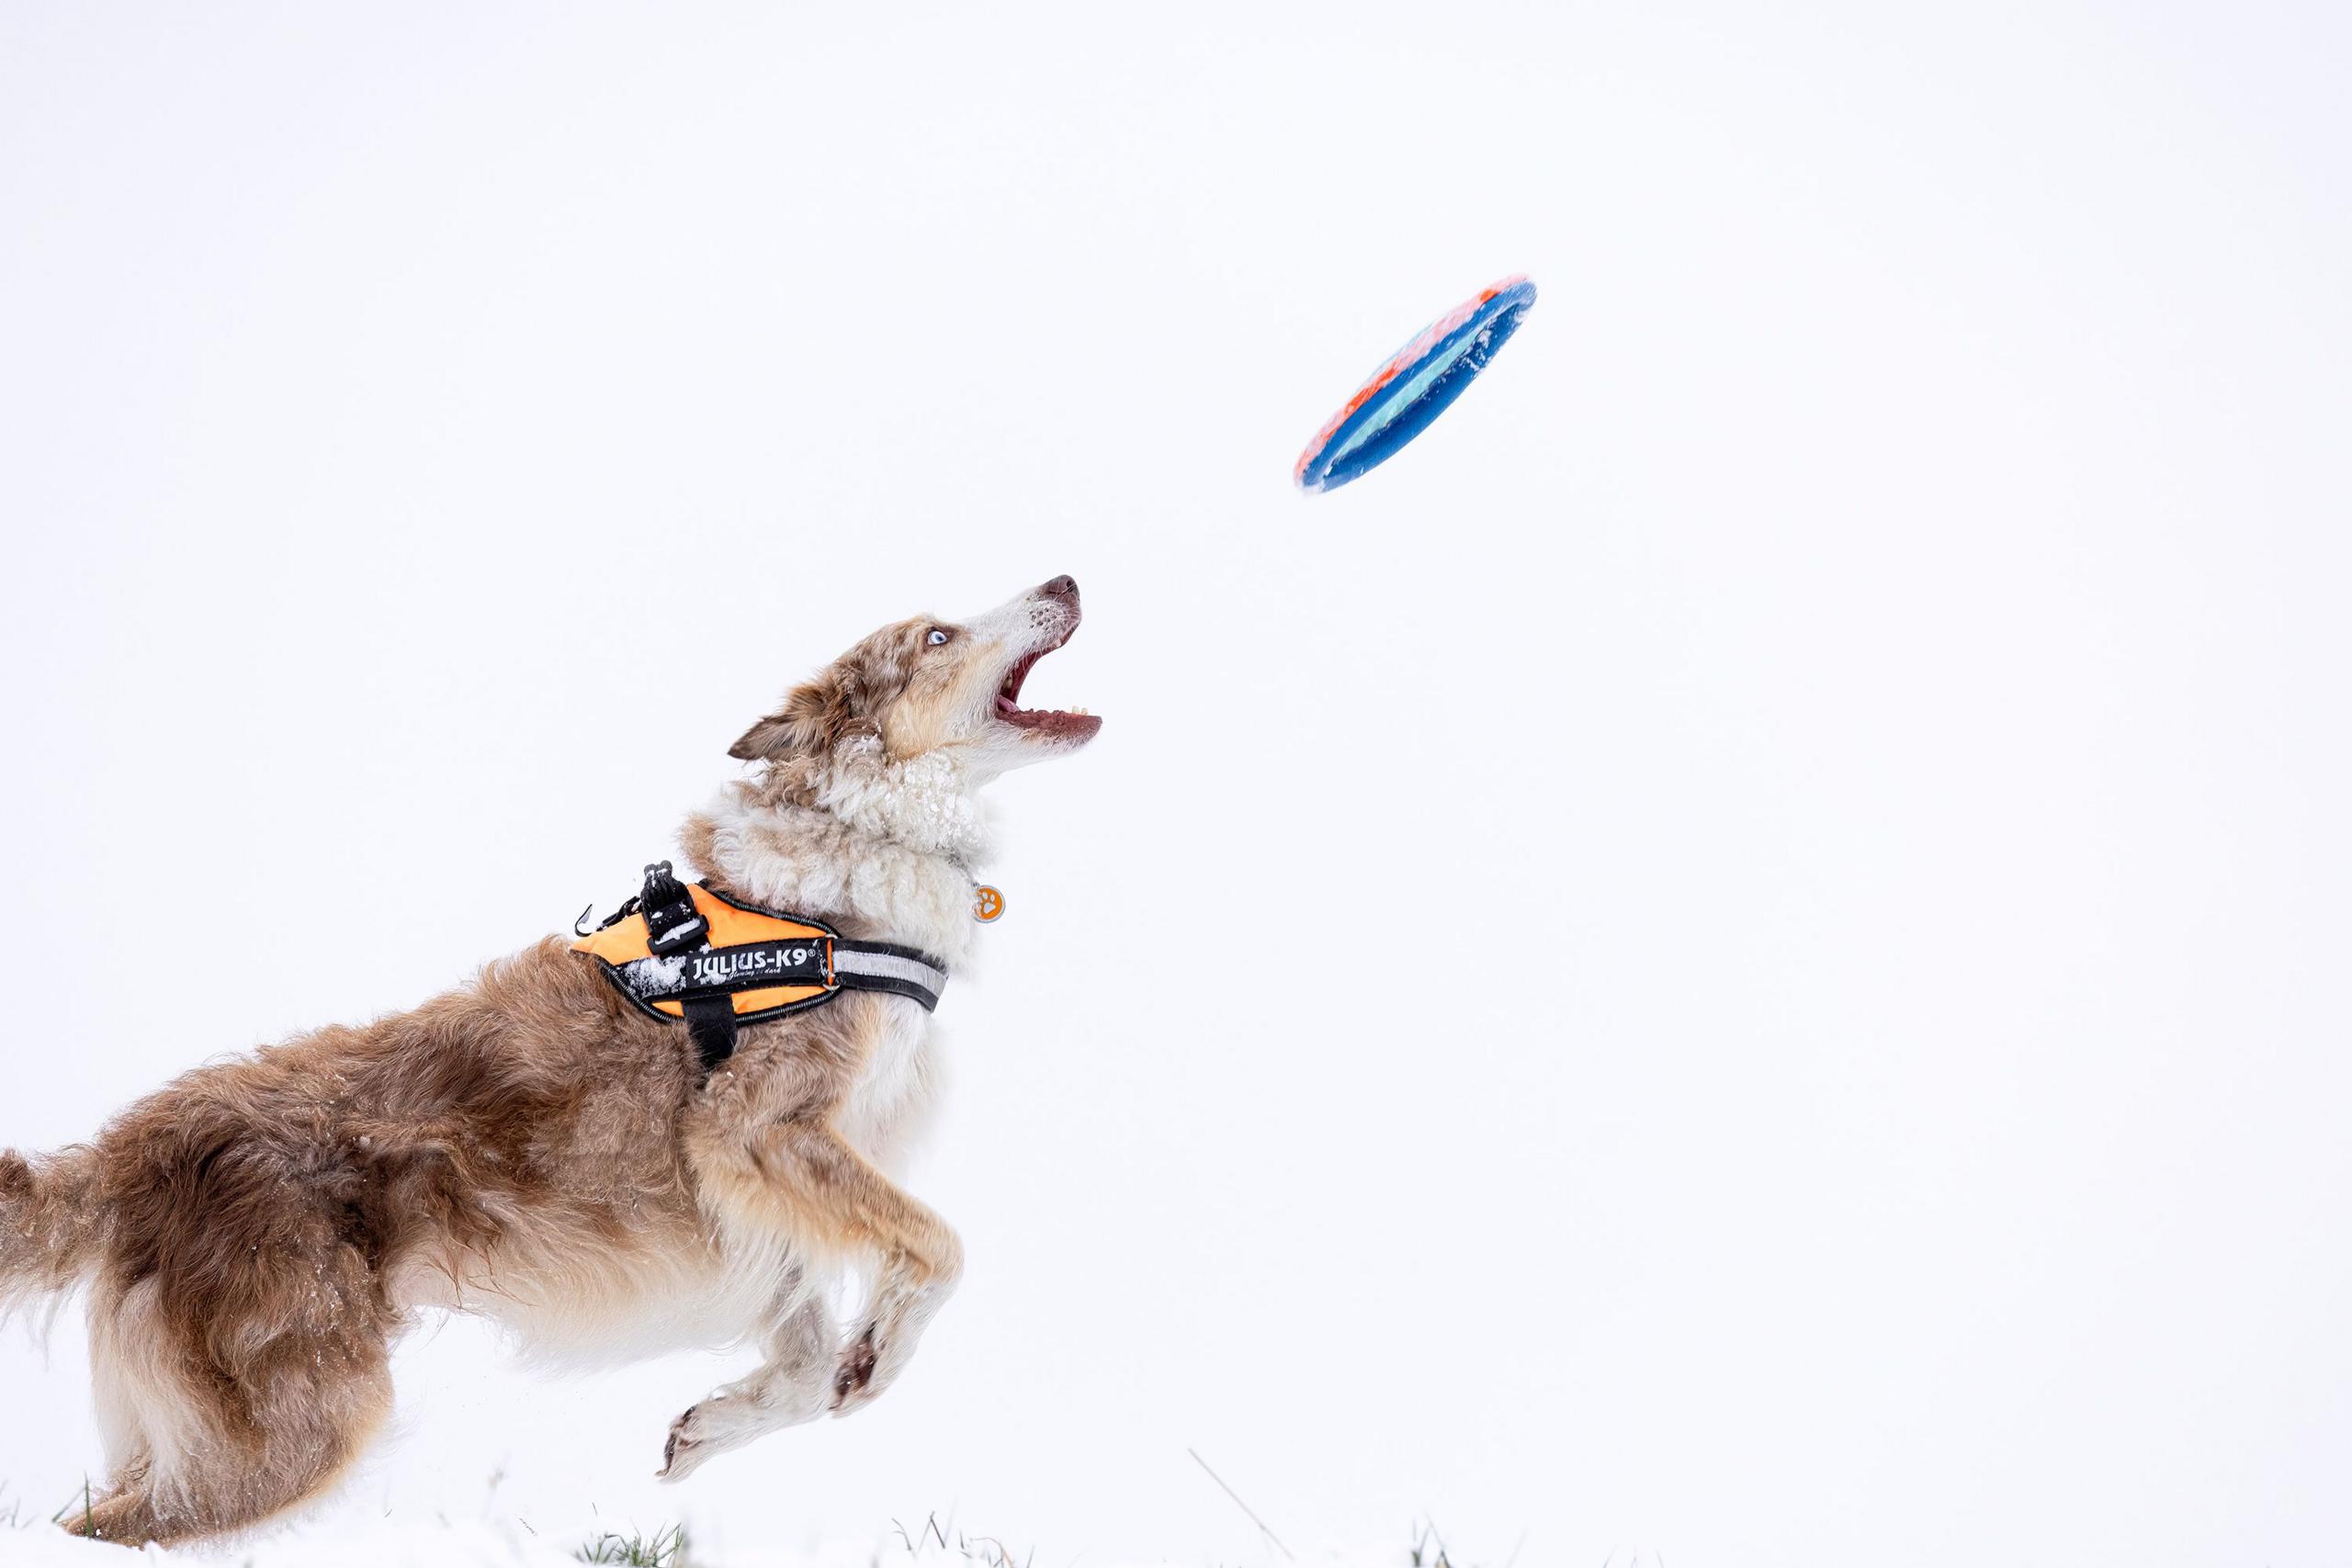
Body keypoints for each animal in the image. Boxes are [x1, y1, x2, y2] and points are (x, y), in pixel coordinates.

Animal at [0, 573, 1101, 1541]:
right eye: (937, 636)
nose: (1067, 579)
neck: (843, 884)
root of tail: (125, 1154)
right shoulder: (754, 1132)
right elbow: (942, 1249)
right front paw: (878, 1356)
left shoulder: (757, 1199)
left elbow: (800, 1364)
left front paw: (721, 1423)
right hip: (298, 1420)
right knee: (106, 1530)